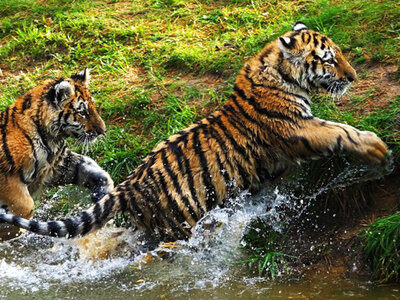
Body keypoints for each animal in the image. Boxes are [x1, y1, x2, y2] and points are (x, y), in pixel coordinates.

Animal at [0, 69, 114, 240]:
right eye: (82, 112)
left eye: (93, 106)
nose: (102, 131)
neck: (50, 139)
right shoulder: (7, 179)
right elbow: (25, 207)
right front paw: (7, 230)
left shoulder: (57, 165)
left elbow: (93, 169)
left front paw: (102, 192)